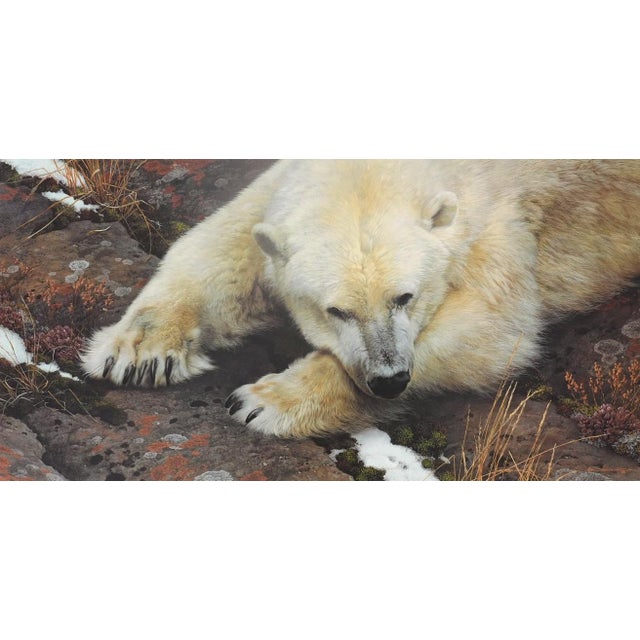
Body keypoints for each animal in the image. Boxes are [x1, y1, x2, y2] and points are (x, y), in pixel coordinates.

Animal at [81, 160, 640, 438]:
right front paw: (139, 353)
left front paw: (263, 402)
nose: (389, 379)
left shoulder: (500, 221)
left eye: (405, 297)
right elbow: (229, 239)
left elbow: (492, 329)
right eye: (337, 310)